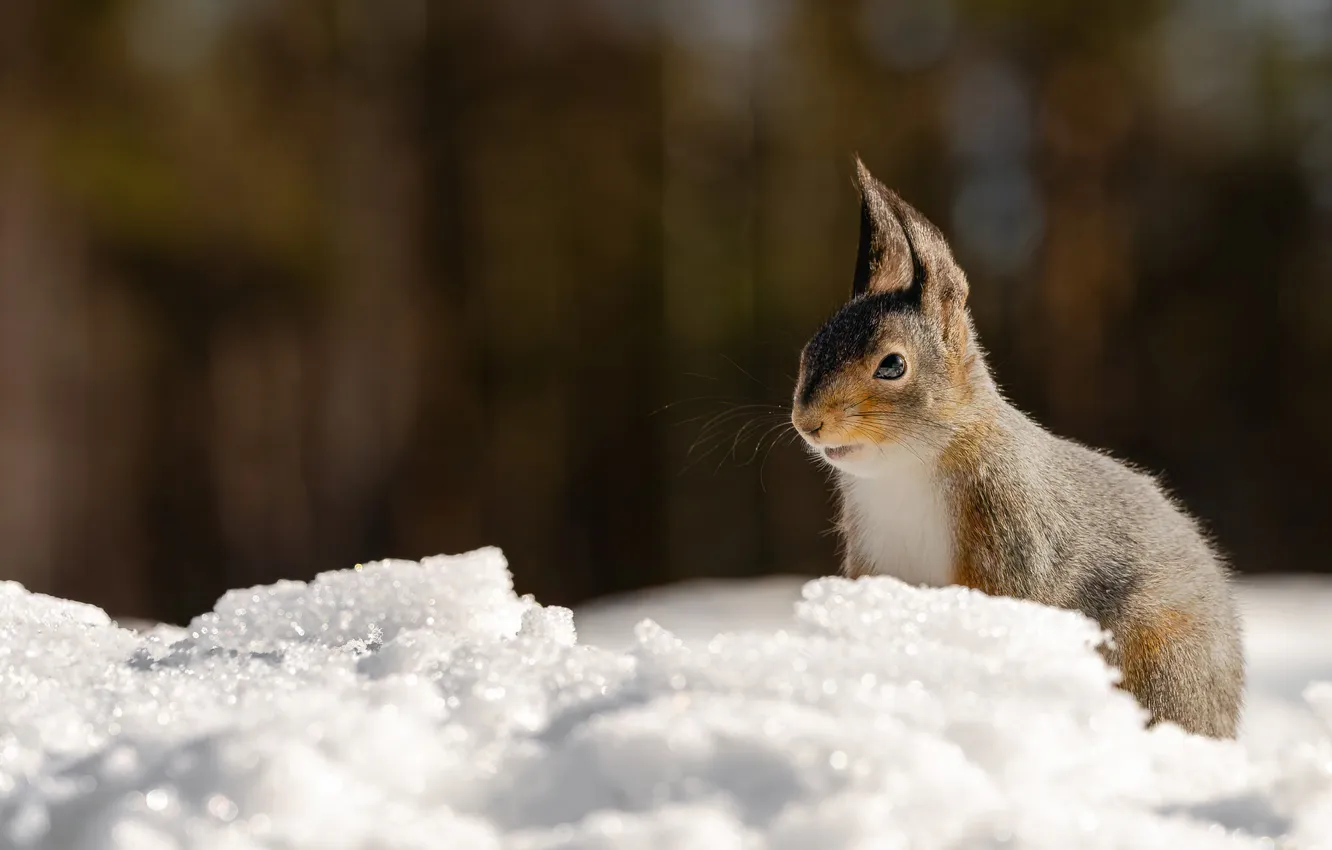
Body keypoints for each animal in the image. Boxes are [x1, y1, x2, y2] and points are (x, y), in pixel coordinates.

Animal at [791, 158, 1244, 738]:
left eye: (892, 365)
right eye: (810, 349)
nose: (808, 422)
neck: (907, 468)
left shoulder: (1011, 524)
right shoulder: (874, 555)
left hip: (1164, 659)